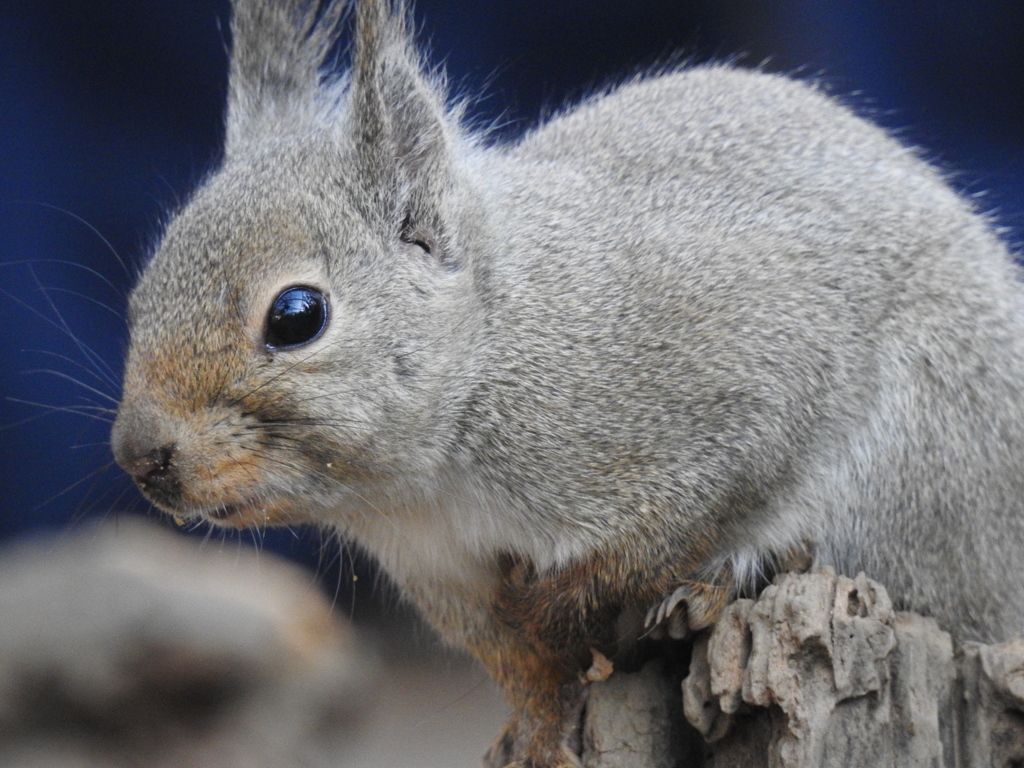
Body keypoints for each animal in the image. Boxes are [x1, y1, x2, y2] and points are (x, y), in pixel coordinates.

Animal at [108, 1, 1024, 768]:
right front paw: (540, 730)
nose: (141, 457)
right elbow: (525, 668)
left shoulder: (745, 381)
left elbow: (665, 532)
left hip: (930, 462)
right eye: (139, 293)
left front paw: (566, 604)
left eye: (296, 316)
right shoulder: (446, 579)